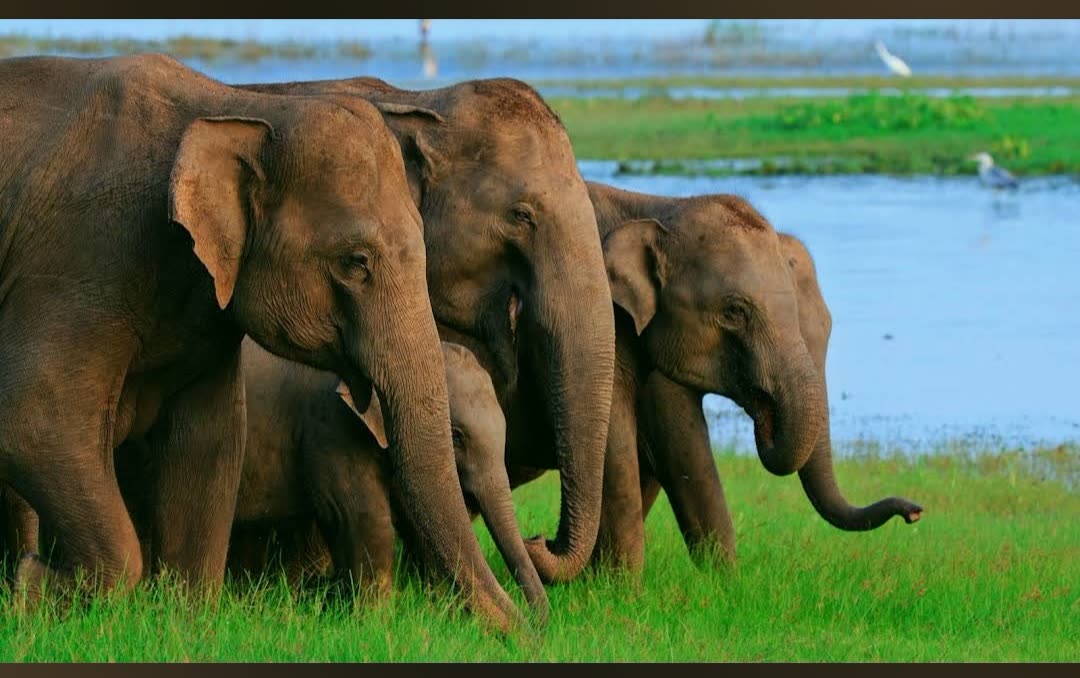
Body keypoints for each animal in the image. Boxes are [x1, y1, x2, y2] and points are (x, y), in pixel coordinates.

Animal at [217, 337, 548, 624]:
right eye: (456, 436)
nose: (536, 539)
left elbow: (417, 521)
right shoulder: (332, 427)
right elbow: (363, 518)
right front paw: (373, 621)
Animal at [503, 182, 922, 573]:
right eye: (735, 311)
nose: (914, 512)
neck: (658, 207)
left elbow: (686, 447)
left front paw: (723, 581)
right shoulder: (603, 321)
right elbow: (618, 442)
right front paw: (618, 589)